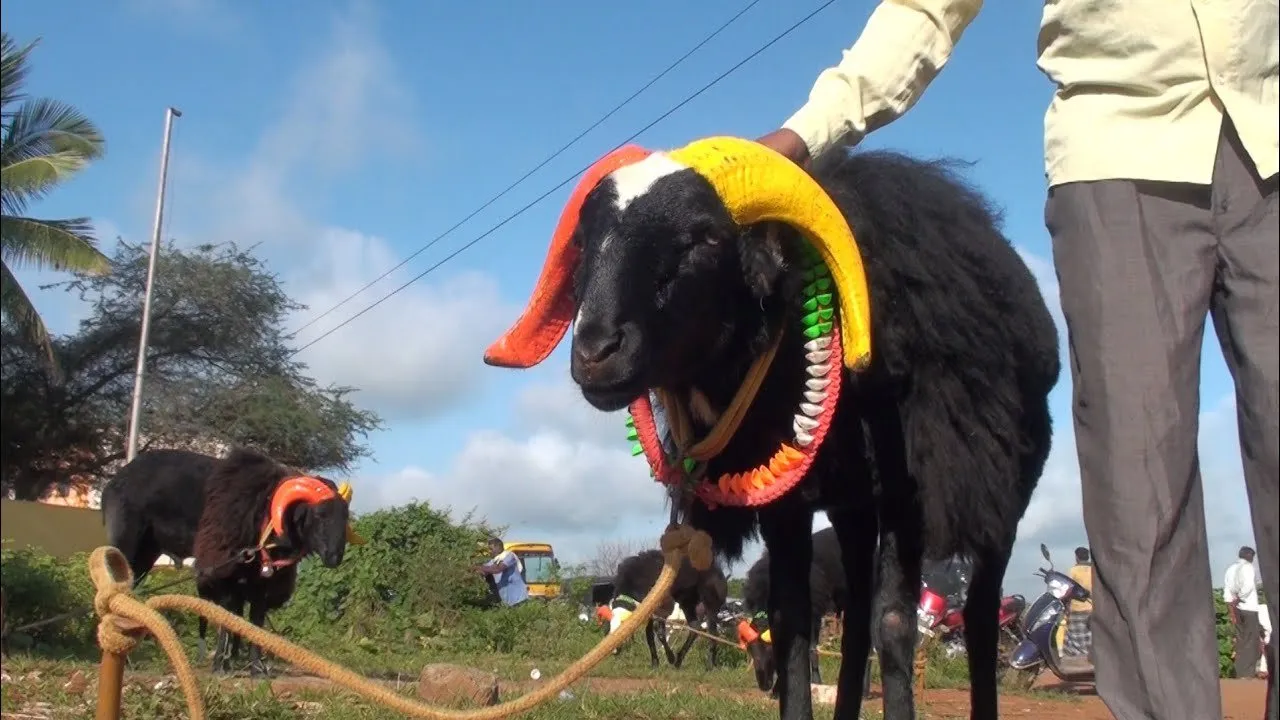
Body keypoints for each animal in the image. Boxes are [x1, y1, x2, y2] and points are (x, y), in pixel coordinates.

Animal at [191, 447, 359, 676]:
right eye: (319, 515)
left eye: (344, 517)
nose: (335, 557)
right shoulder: (226, 580)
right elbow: (227, 620)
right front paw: (219, 664)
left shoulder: (263, 587)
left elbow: (256, 621)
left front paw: (257, 667)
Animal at [484, 137, 1059, 720]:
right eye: (585, 241)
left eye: (706, 238)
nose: (596, 352)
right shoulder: (787, 506)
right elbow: (792, 625)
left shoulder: (907, 493)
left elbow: (897, 624)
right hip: (853, 506)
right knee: (854, 622)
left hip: (1002, 496)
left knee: (980, 618)